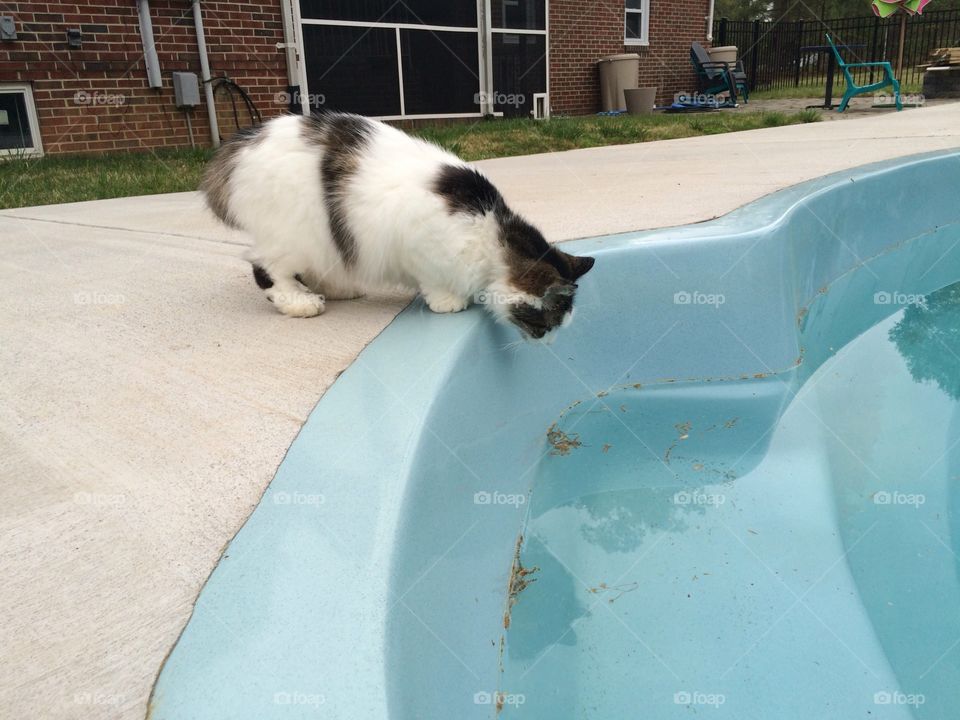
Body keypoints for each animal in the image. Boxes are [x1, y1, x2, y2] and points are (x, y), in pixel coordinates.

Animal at [202, 112, 592, 340]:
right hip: (292, 234)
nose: (546, 340)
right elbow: (435, 283)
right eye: (547, 323)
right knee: (268, 271)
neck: (491, 230)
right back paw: (301, 302)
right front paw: (448, 302)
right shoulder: (419, 243)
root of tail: (240, 145)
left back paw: (340, 289)